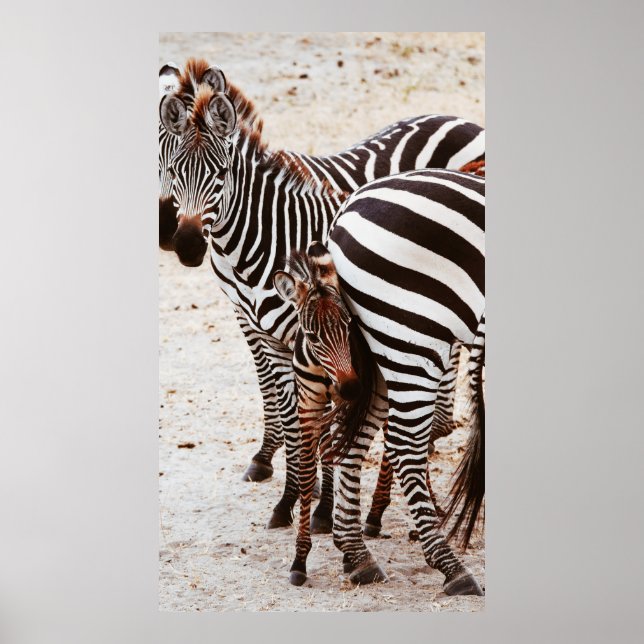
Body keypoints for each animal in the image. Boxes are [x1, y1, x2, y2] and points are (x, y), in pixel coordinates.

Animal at [158, 58, 485, 529]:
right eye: (170, 168)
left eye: (220, 174)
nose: (182, 244)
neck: (265, 239)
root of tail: (460, 120)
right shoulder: (260, 328)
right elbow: (286, 408)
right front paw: (289, 489)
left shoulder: (320, 335)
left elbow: (324, 418)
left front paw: (324, 506)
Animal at [318, 167, 485, 596]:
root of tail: (346, 207)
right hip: (413, 332)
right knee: (404, 443)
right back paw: (453, 567)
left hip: (376, 346)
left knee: (352, 434)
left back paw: (357, 554)